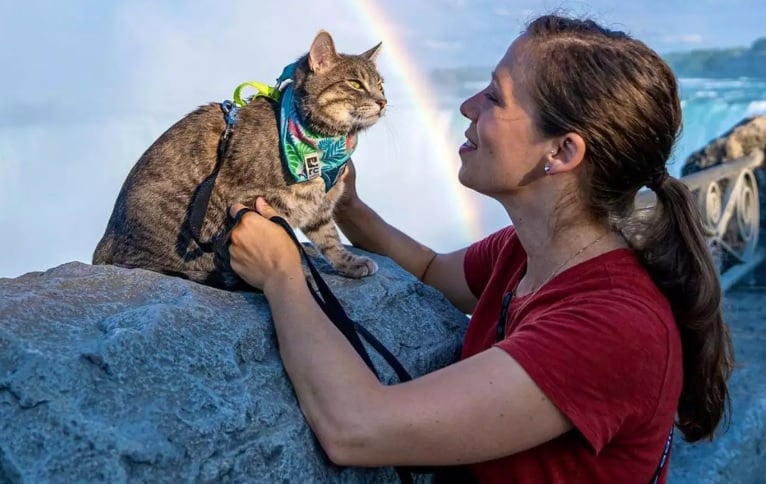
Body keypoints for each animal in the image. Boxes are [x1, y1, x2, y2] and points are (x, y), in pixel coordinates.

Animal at [93, 31, 388, 292]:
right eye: (355, 84)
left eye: (381, 85)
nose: (383, 101)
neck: (321, 143)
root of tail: (104, 243)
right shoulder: (256, 203)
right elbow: (285, 242)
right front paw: (296, 271)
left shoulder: (319, 205)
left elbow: (329, 238)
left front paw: (348, 263)